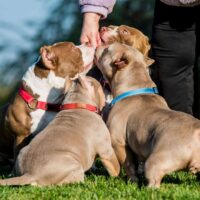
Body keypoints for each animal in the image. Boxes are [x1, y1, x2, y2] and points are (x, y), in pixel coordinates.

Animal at [95, 42, 200, 188]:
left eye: (106, 49)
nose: (98, 45)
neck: (135, 87)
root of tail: (197, 132)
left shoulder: (119, 143)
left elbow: (128, 164)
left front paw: (132, 180)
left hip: (157, 161)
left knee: (154, 178)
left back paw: (147, 189)